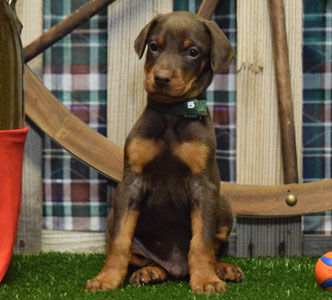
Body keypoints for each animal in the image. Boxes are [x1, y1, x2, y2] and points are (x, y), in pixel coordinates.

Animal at [84, 11, 243, 292]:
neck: (172, 115)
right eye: (154, 46)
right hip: (115, 216)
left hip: (223, 206)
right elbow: (120, 241)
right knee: (144, 258)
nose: (161, 78)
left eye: (192, 51)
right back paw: (150, 272)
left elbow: (201, 242)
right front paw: (107, 278)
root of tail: (177, 267)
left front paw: (206, 280)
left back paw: (223, 269)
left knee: (214, 249)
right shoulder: (131, 183)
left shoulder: (203, 186)